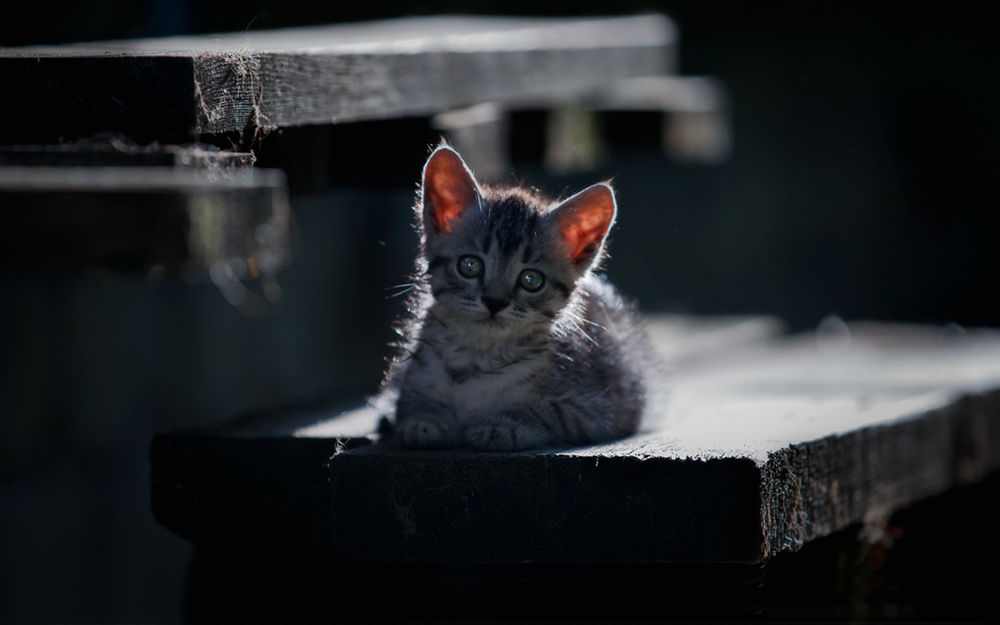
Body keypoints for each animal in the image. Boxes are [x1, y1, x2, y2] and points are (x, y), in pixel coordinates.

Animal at [376, 144, 648, 450]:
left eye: (531, 280)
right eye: (470, 265)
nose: (495, 302)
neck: (478, 357)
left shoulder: (596, 408)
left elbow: (546, 410)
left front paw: (503, 425)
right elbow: (409, 400)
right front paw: (424, 418)